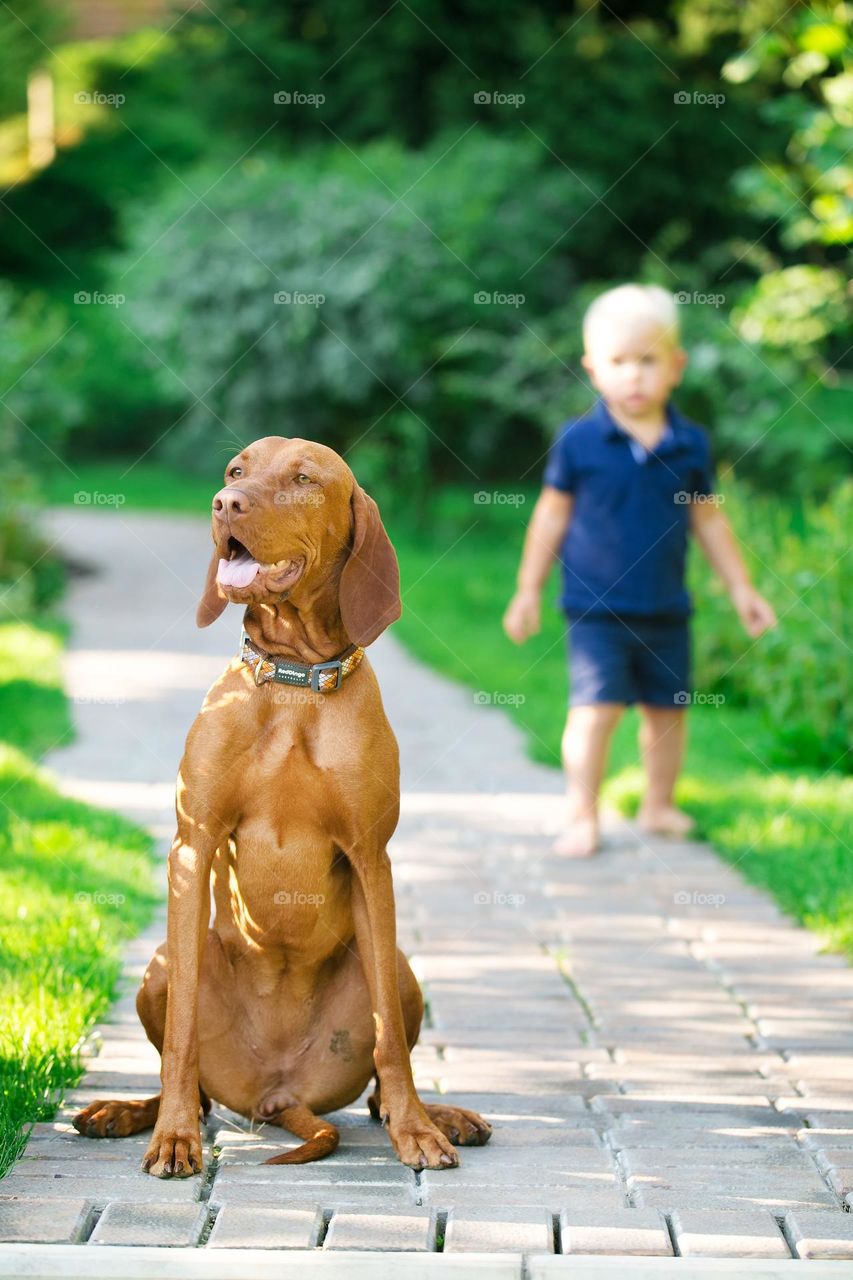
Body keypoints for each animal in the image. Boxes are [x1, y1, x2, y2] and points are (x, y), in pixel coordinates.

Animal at [73, 435, 491, 1172]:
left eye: (302, 479)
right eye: (235, 470)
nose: (224, 504)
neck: (296, 682)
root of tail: (275, 1094)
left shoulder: (371, 855)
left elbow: (389, 1038)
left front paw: (417, 1131)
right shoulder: (193, 843)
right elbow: (180, 1037)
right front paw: (173, 1138)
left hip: (402, 971)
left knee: (378, 1083)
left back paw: (435, 1116)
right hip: (160, 966)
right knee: (194, 1086)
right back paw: (131, 1112)